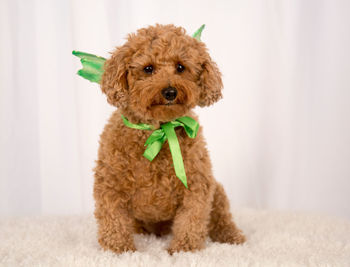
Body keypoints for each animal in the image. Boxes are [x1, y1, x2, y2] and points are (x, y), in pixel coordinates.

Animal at [93, 23, 246, 255]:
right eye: (148, 69)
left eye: (181, 67)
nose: (170, 92)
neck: (160, 130)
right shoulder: (111, 185)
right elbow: (114, 221)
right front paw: (118, 250)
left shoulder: (197, 185)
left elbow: (191, 221)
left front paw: (184, 250)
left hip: (216, 190)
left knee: (222, 218)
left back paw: (232, 237)